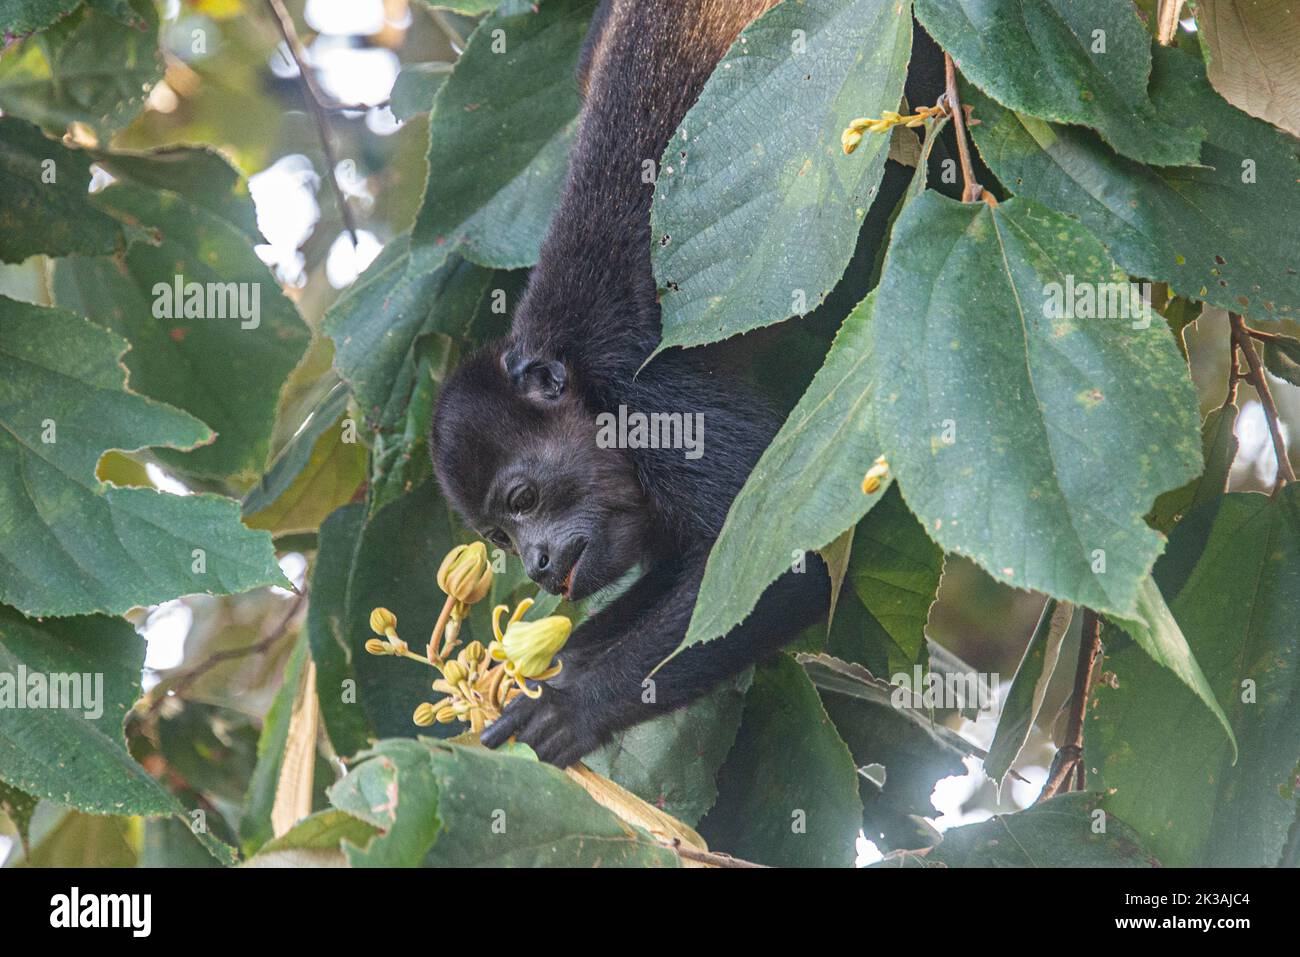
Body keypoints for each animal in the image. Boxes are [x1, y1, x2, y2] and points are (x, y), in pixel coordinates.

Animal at [431, 0, 951, 764]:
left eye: (523, 499)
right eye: (497, 536)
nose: (536, 562)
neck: (576, 376)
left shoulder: (656, 403)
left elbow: (777, 562)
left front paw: (573, 705)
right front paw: (556, 666)